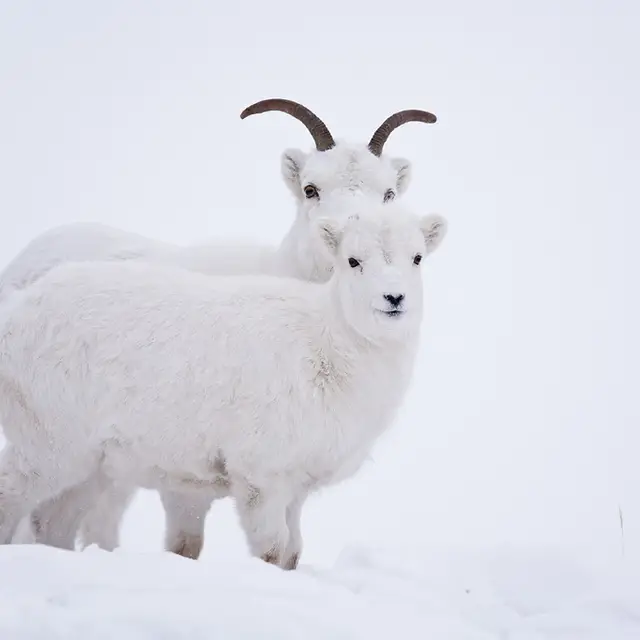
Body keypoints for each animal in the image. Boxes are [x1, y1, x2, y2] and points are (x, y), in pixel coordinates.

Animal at [0, 98, 438, 557]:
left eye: (389, 193)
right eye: (311, 189)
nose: (350, 226)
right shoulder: (211, 479)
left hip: (92, 465)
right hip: (52, 449)